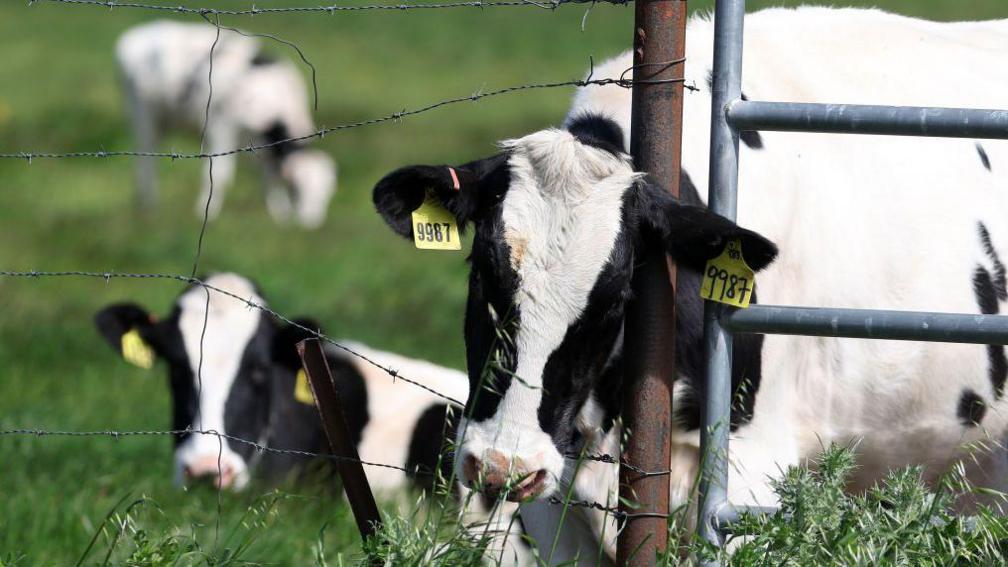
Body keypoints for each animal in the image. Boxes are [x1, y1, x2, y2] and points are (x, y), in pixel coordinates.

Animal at [113, 19, 334, 227]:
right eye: (297, 189)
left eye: (327, 193)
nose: (311, 223)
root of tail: (138, 34)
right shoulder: (221, 126)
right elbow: (219, 175)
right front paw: (205, 214)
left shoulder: (261, 146)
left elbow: (269, 177)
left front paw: (280, 216)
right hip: (143, 114)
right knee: (145, 160)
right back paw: (148, 206)